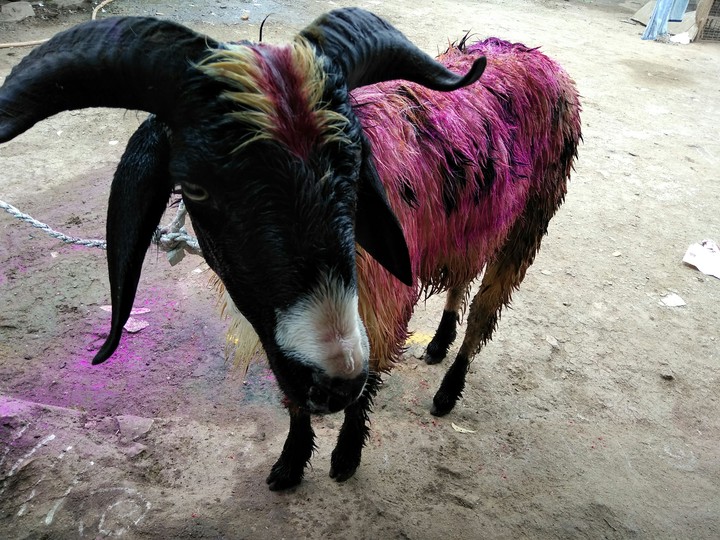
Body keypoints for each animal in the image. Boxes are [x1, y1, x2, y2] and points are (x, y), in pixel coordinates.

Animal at [0, 8, 581, 490]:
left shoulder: (378, 307)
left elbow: (367, 381)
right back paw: (437, 344)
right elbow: (292, 399)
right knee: (462, 277)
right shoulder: (274, 331)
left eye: (356, 166)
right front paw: (290, 464)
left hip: (529, 224)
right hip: (480, 224)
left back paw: (446, 390)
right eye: (195, 189)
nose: (335, 379)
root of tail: (529, 52)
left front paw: (344, 457)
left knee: (484, 312)